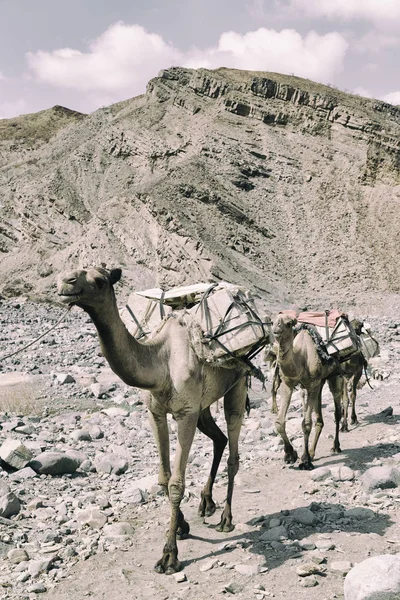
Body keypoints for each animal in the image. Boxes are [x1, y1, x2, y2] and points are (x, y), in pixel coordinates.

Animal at [56, 268, 250, 576]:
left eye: (100, 280)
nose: (66, 282)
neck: (160, 363)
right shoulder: (156, 412)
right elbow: (163, 478)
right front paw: (181, 525)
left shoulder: (185, 414)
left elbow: (176, 484)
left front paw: (169, 555)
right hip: (204, 405)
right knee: (218, 439)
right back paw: (206, 503)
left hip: (237, 384)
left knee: (233, 451)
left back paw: (225, 519)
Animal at [272, 312, 344, 472]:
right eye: (272, 322)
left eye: (288, 323)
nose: (276, 330)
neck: (301, 356)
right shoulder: (288, 385)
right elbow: (279, 421)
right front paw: (290, 454)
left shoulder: (312, 385)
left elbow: (306, 423)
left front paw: (304, 461)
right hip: (320, 383)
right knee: (320, 419)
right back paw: (312, 452)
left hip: (334, 377)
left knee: (337, 412)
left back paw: (335, 446)